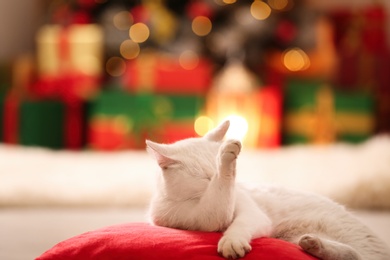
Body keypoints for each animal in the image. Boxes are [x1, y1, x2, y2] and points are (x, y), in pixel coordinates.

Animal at [145, 121, 390, 260]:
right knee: (353, 255)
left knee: (358, 255)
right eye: (206, 177)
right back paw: (314, 244)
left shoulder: (250, 213)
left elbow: (240, 224)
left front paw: (232, 242)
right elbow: (217, 209)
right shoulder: (204, 219)